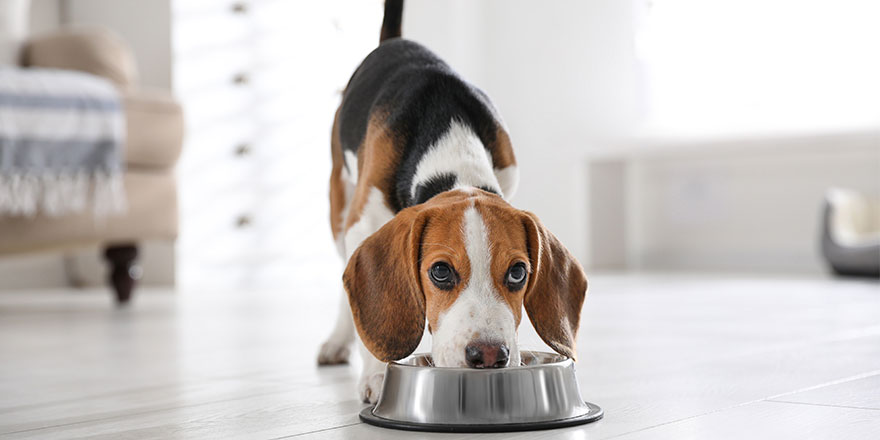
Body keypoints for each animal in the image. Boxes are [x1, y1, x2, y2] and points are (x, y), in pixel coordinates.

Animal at [312, 0, 588, 406]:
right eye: (440, 272)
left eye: (518, 273)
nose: (488, 355)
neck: (450, 144)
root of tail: (395, 41)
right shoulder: (363, 224)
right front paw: (377, 374)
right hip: (339, 206)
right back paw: (337, 341)